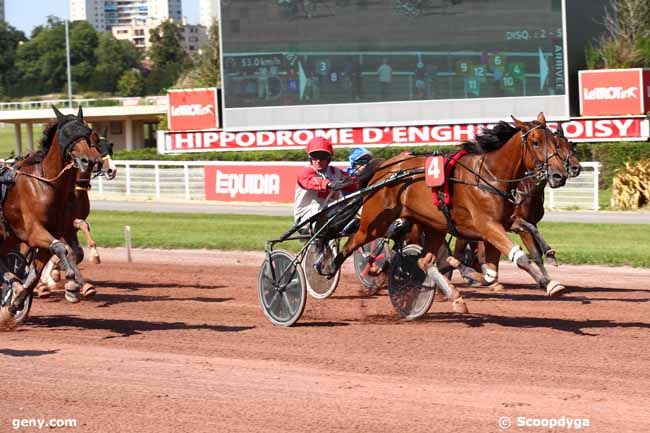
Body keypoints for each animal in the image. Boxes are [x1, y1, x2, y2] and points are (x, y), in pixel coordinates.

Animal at [0, 105, 102, 328]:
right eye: (68, 132)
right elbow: (60, 248)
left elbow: (37, 273)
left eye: (88, 133)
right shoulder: (34, 233)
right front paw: (71, 285)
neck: (47, 183)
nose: (90, 161)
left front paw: (14, 304)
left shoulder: (59, 231)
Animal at [318, 113, 568, 312]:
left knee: (425, 262)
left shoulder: (497, 226)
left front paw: (468, 273)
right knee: (354, 241)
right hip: (376, 222)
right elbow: (520, 257)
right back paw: (329, 266)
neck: (488, 176)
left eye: (556, 143)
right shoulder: (488, 226)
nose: (559, 175)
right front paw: (551, 284)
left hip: (433, 225)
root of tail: (384, 169)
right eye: (536, 142)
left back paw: (456, 297)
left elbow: (491, 273)